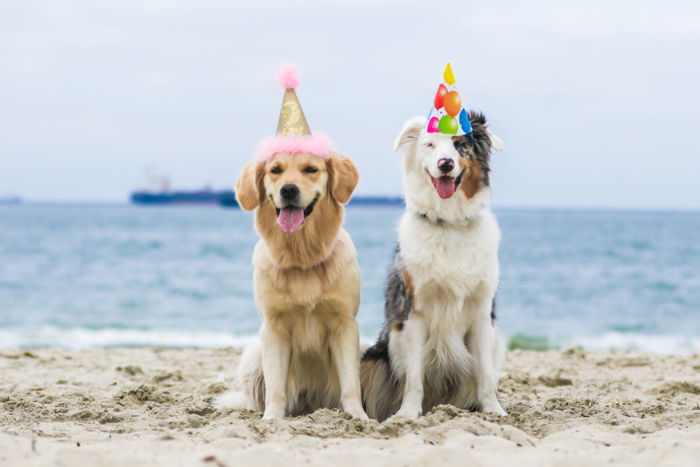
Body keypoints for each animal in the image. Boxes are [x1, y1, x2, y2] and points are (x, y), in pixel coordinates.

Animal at [360, 111, 504, 422]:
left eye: (460, 144)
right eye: (429, 145)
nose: (445, 163)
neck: (449, 223)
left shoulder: (481, 312)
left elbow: (486, 374)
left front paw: (494, 410)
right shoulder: (413, 310)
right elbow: (414, 377)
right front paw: (407, 414)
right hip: (374, 358)